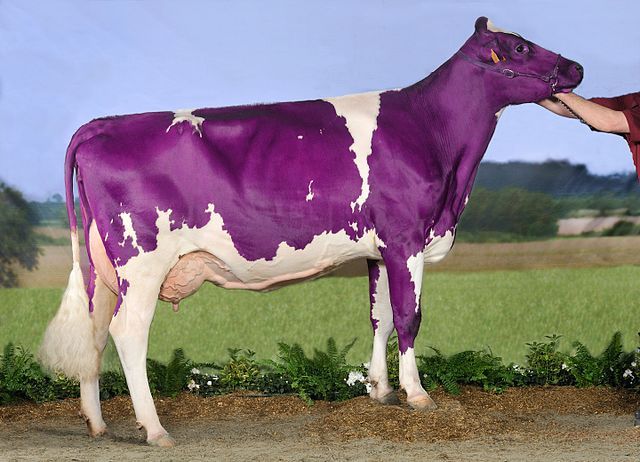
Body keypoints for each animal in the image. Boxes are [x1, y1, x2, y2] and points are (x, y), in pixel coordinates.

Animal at [40, 17, 583, 446]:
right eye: (519, 48)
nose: (577, 68)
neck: (433, 135)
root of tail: (101, 125)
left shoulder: (378, 248)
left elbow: (380, 318)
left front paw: (380, 393)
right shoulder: (405, 237)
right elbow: (409, 318)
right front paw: (417, 395)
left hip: (103, 269)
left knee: (94, 331)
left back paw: (96, 423)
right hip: (143, 260)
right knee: (128, 332)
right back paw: (155, 430)